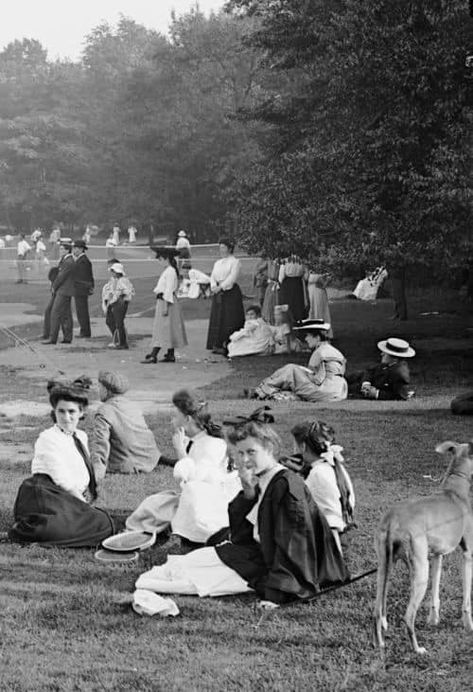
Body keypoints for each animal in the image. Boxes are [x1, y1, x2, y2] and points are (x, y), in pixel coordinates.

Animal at [372, 444, 472, 656]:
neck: (454, 492)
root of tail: (393, 520)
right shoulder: (468, 554)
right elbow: (467, 600)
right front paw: (469, 626)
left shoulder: (437, 556)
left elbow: (435, 593)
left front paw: (434, 620)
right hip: (419, 572)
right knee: (408, 616)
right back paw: (417, 649)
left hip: (385, 567)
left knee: (377, 610)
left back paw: (380, 644)